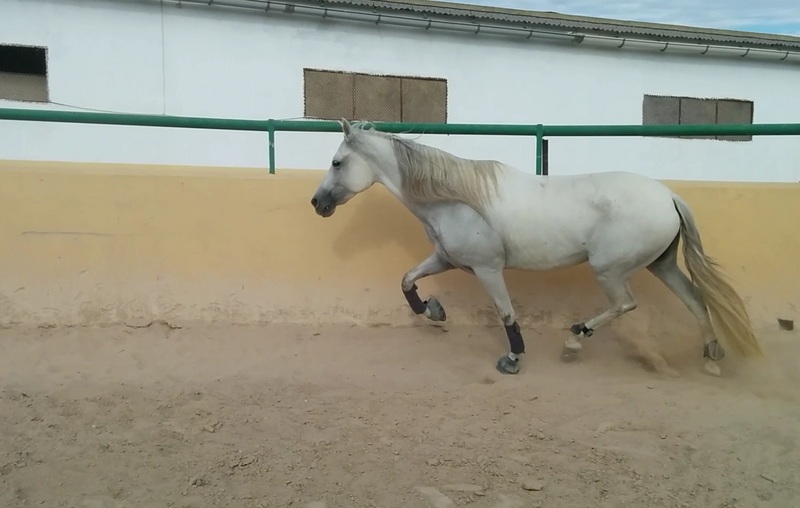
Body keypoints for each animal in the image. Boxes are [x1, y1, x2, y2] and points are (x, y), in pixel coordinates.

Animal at [310, 119, 763, 377]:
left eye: (336, 162)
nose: (318, 203)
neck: (455, 198)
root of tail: (669, 196)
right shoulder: (446, 259)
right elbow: (407, 280)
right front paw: (434, 311)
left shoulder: (488, 269)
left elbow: (506, 313)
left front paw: (513, 359)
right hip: (662, 265)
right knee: (695, 300)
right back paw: (710, 357)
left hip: (610, 268)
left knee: (626, 304)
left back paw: (575, 340)